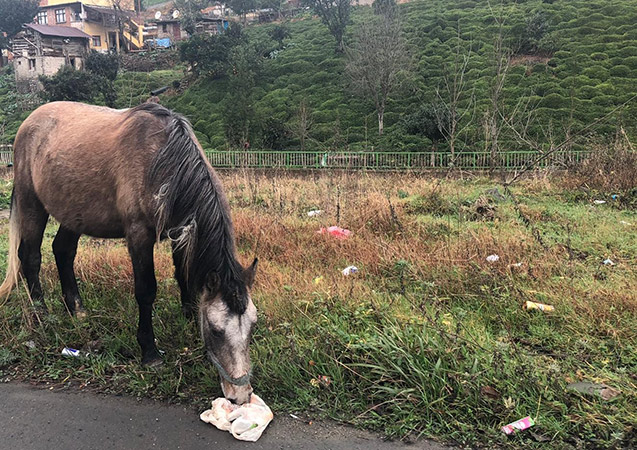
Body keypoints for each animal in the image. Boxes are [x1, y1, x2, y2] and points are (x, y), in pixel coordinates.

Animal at [1, 102, 258, 404]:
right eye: (216, 331)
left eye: (252, 327)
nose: (240, 395)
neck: (163, 158)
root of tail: (30, 122)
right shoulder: (139, 236)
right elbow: (146, 291)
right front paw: (150, 352)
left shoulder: (180, 232)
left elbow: (184, 277)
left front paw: (188, 319)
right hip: (32, 204)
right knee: (30, 258)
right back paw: (41, 316)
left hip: (74, 213)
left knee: (63, 251)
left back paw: (77, 309)